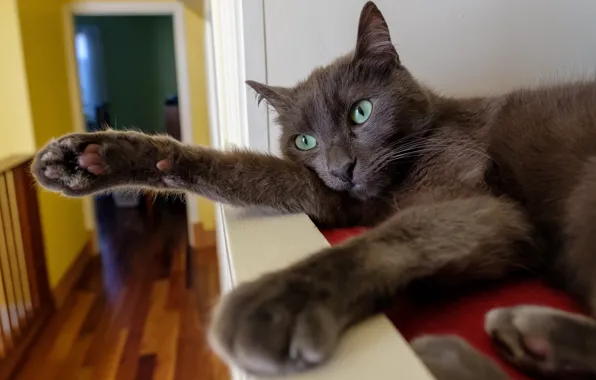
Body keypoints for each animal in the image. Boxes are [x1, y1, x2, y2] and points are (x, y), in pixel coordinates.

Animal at [30, 2, 596, 380]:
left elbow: (392, 237)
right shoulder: (334, 196)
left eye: (361, 111)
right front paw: (89, 158)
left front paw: (275, 304)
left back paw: (489, 343)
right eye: (305, 141)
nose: (342, 166)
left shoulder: (479, 199)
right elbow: (246, 170)